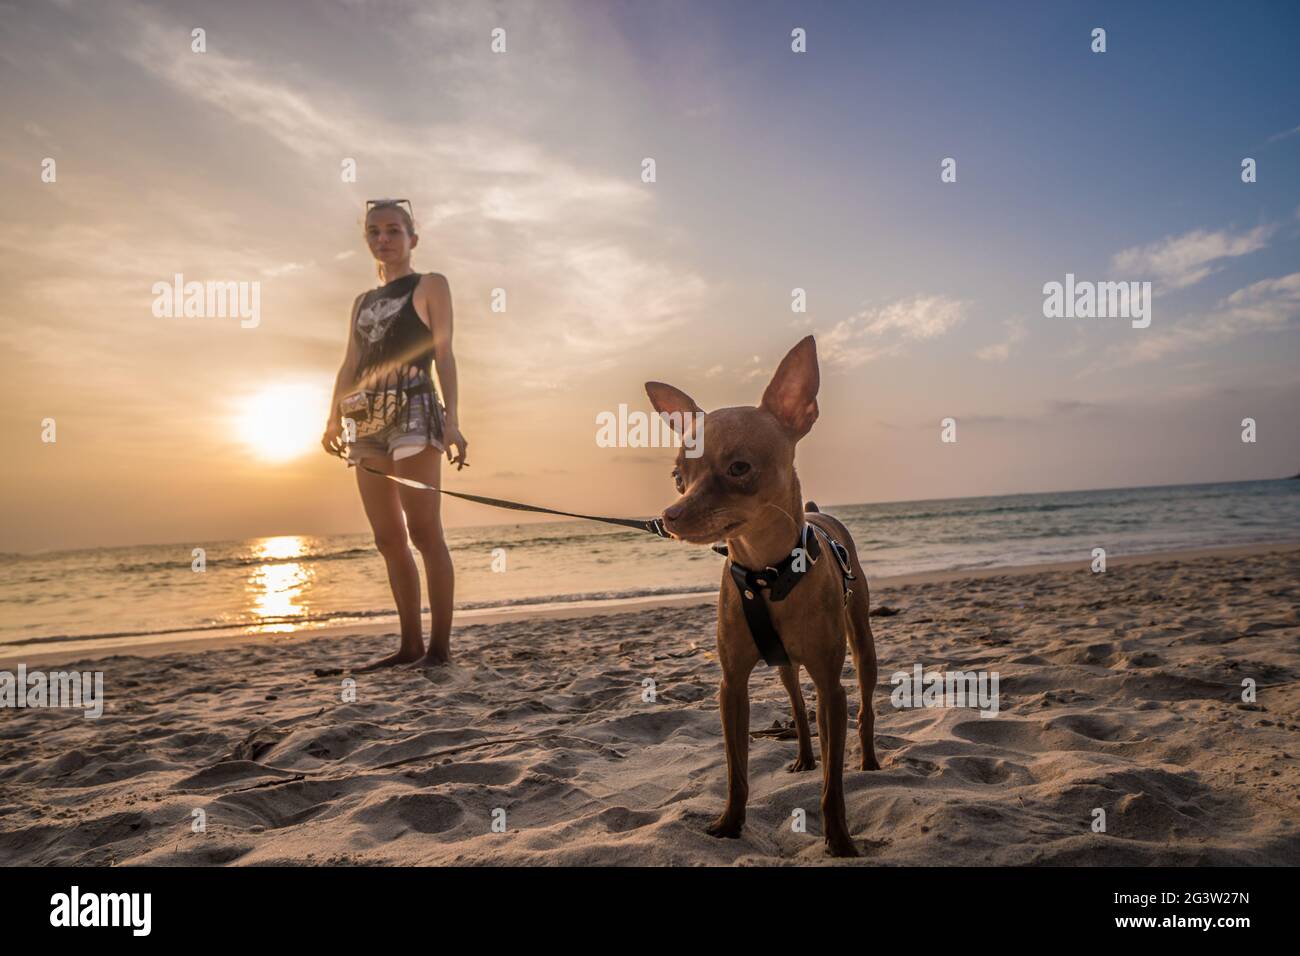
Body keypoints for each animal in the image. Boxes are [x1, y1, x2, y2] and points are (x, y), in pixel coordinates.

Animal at [644, 335, 878, 858]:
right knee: (796, 707)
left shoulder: (830, 688)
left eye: (739, 468)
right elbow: (737, 770)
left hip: (862, 644)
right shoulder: (732, 686)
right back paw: (804, 757)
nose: (670, 515)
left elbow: (833, 784)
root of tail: (818, 512)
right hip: (785, 666)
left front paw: (839, 838)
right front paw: (730, 823)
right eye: (677, 477)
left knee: (865, 707)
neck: (766, 572)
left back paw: (871, 761)